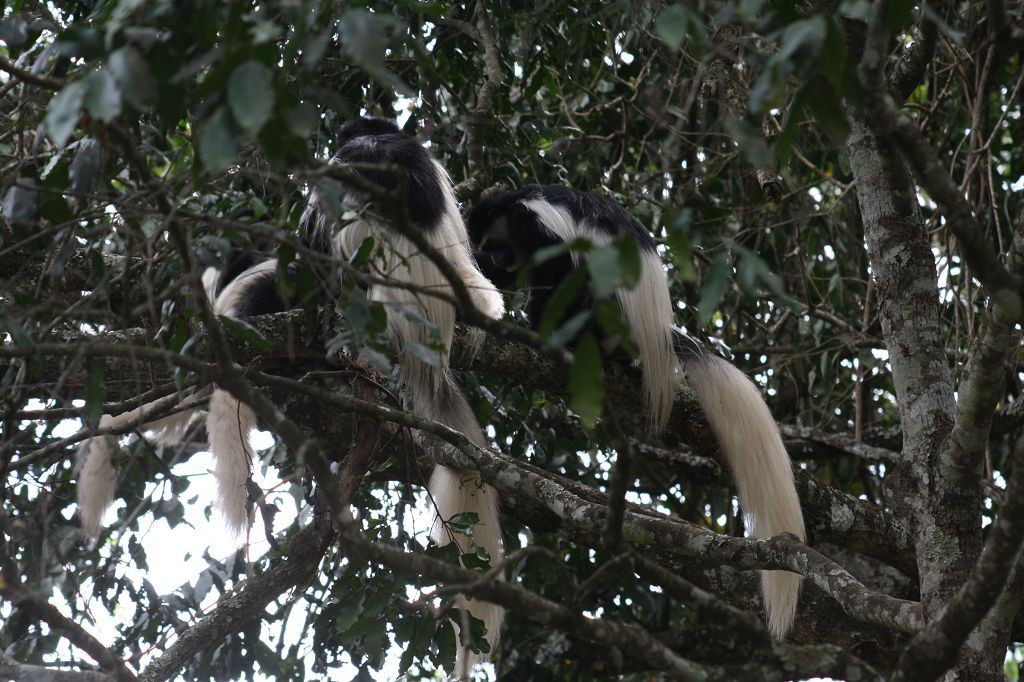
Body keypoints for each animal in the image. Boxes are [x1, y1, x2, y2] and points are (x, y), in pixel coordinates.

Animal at [466, 184, 806, 638]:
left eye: (497, 244)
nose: (491, 259)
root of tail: (652, 336)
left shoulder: (540, 228)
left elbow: (557, 269)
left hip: (609, 312)